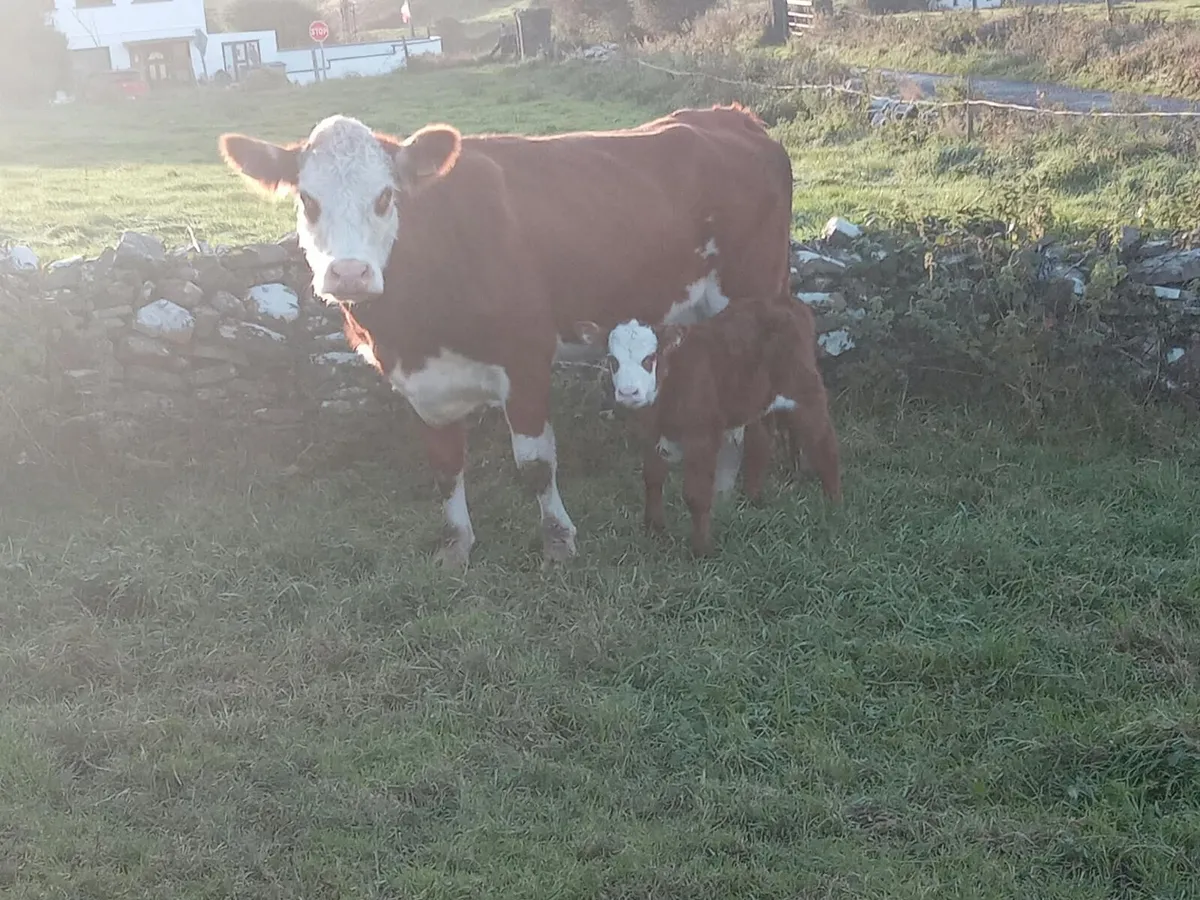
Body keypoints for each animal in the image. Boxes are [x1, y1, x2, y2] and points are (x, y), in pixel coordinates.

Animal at [216, 103, 796, 570]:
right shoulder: (424, 384)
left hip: (749, 293)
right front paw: (456, 545)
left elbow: (536, 465)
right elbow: (445, 467)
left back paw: (725, 486)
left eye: (385, 197)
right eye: (307, 200)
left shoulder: (526, 359)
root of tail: (734, 116)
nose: (349, 274)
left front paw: (558, 542)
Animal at [577, 297, 841, 556]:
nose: (628, 392)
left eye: (649, 359)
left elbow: (697, 494)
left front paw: (701, 550)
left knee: (824, 442)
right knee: (761, 441)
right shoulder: (651, 433)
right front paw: (654, 529)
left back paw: (832, 503)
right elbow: (652, 478)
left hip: (804, 389)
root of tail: (788, 302)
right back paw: (753, 499)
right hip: (756, 400)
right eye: (613, 360)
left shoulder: (701, 437)